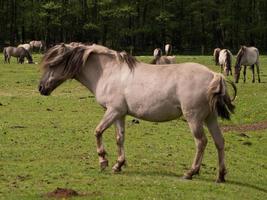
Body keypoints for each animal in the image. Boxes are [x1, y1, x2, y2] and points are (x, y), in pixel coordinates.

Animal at [39, 43, 237, 183]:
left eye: (53, 64)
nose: (41, 88)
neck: (109, 72)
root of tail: (214, 75)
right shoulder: (120, 114)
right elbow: (120, 138)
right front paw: (118, 164)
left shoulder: (113, 111)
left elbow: (98, 131)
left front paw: (103, 161)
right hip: (210, 118)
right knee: (219, 142)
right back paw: (221, 175)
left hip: (194, 119)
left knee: (201, 142)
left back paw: (190, 172)